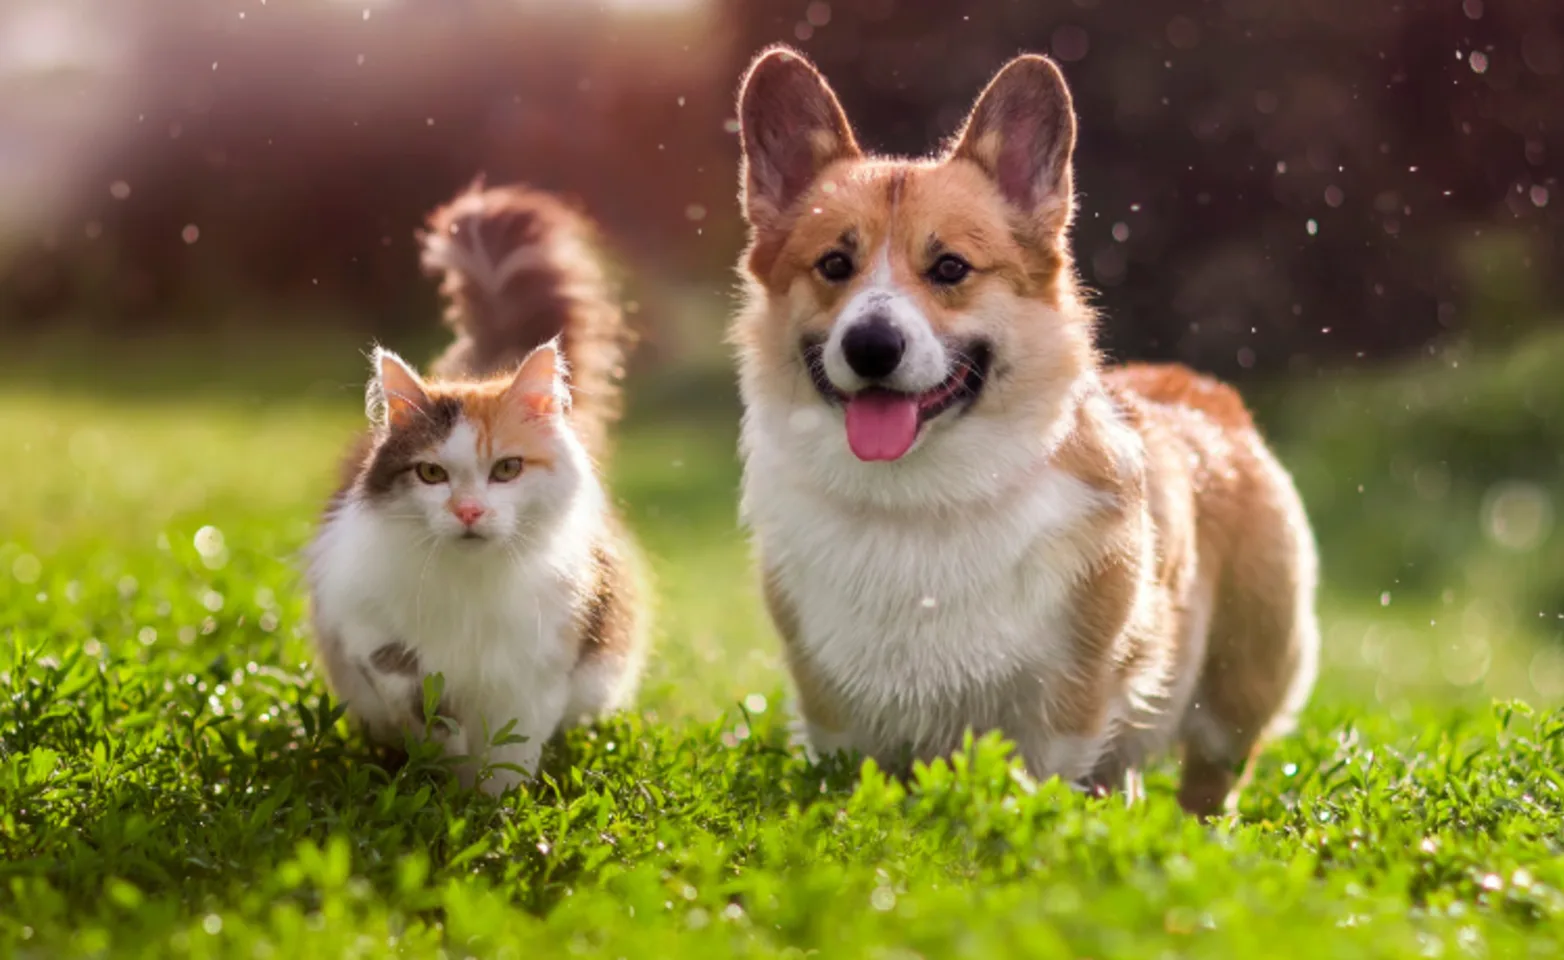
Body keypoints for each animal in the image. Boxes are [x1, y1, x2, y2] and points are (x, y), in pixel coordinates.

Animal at [304, 182, 647, 797]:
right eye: (431, 475)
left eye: (507, 470)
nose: (467, 511)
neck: (469, 586)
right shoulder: (358, 619)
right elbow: (408, 683)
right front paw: (443, 755)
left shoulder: (538, 667)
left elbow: (510, 753)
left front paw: (490, 808)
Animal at [731, 43, 1320, 813]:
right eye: (834, 263)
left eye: (950, 267)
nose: (871, 346)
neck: (919, 500)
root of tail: (1205, 391)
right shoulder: (834, 712)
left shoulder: (1066, 706)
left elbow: (1045, 783)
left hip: (1236, 693)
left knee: (1209, 781)